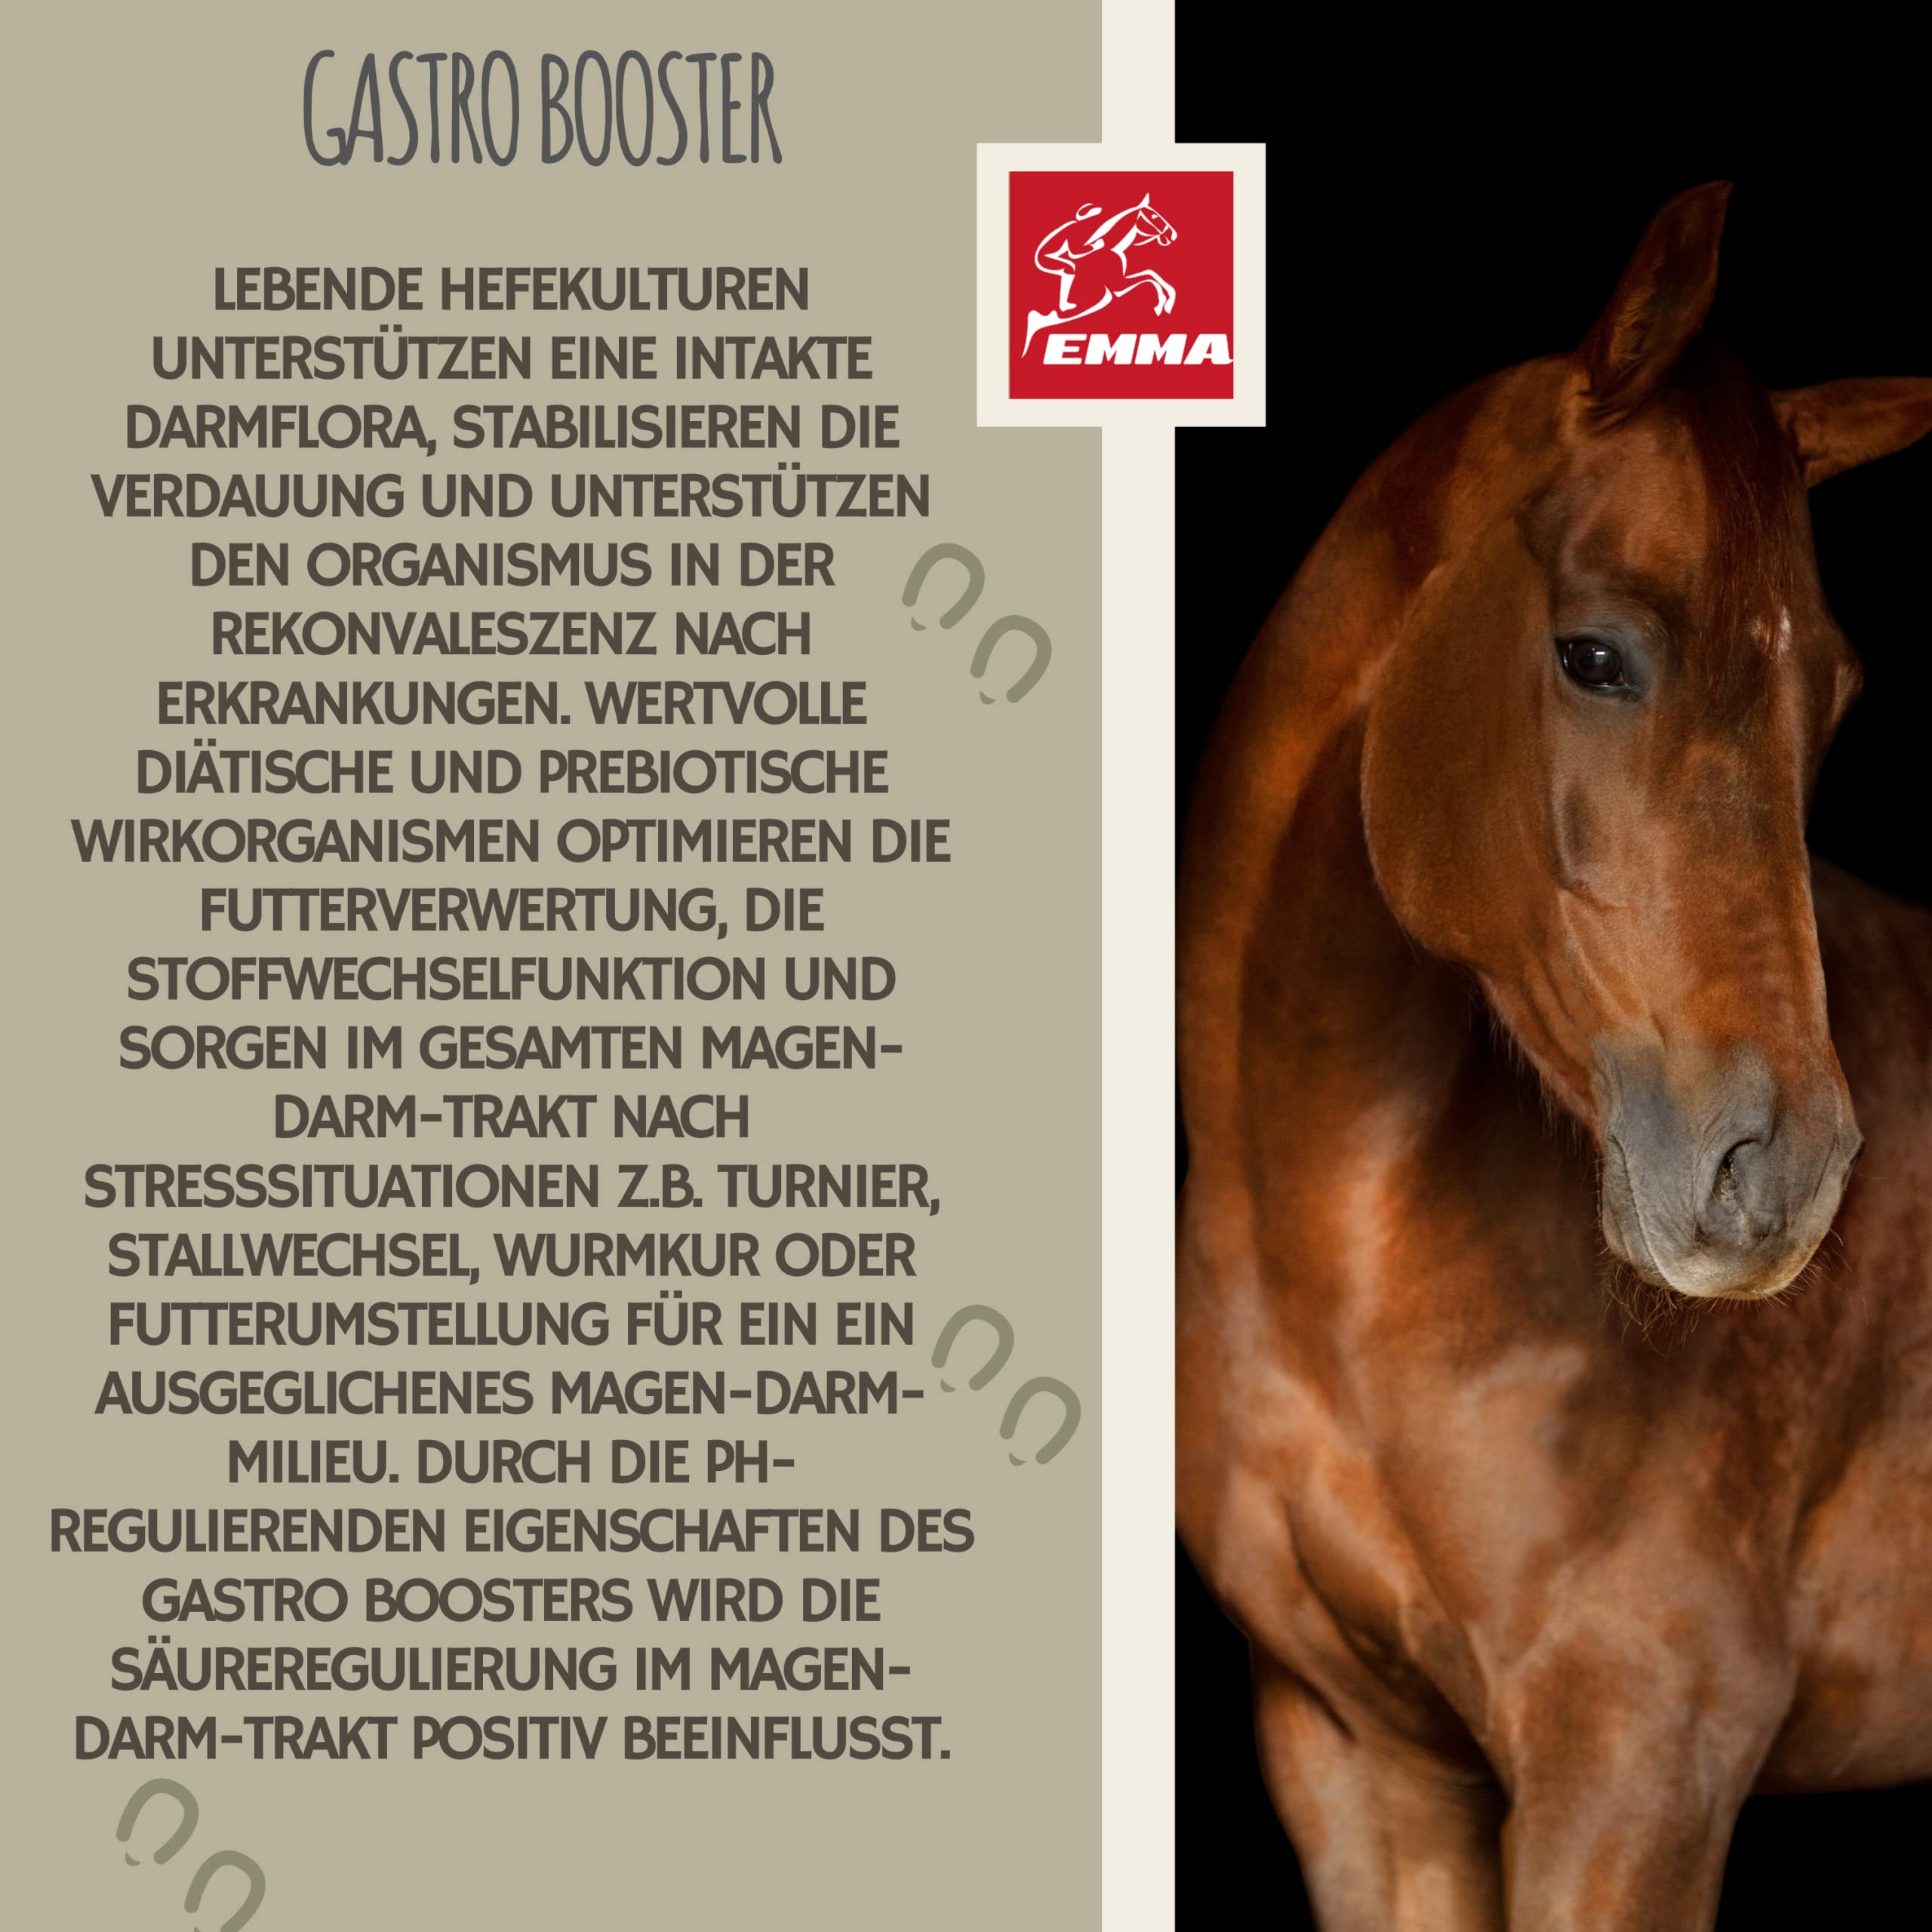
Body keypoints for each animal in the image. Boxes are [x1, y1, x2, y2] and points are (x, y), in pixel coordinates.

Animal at [1023, 194, 1178, 354]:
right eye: (1154, 216)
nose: (1173, 235)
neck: (1112, 248)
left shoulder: (1120, 282)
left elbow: (1151, 274)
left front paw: (1167, 303)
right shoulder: (1118, 285)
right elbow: (1149, 277)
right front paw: (1162, 305)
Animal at [1176, 182, 1932, 1930]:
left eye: (1831, 696)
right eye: (1594, 655)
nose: (1777, 1173)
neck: (1341, 1257)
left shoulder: (1635, 1765)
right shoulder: (1359, 1760)